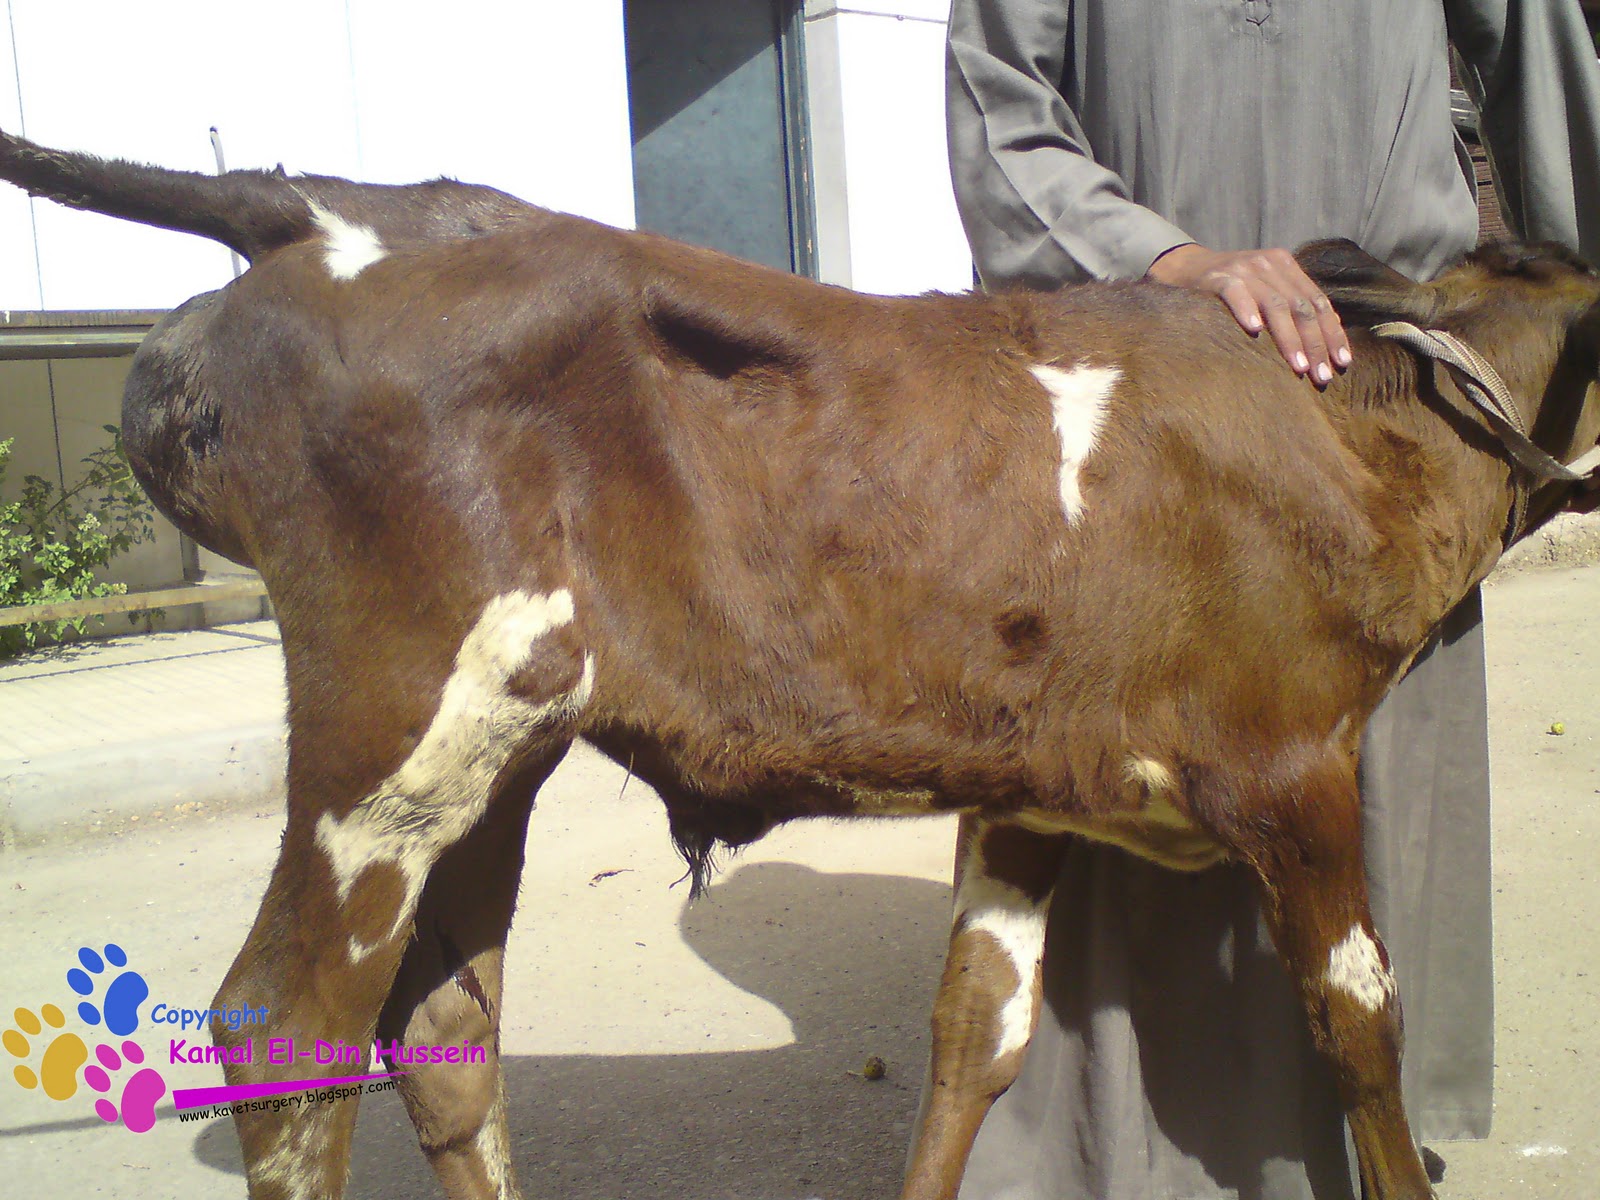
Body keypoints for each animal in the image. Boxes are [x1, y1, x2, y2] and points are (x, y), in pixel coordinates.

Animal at [0, 128, 1596, 1200]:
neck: (1368, 423)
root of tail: (321, 206)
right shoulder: (1291, 768)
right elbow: (1358, 1021)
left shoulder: (1030, 786)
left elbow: (974, 1032)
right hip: (394, 731)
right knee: (284, 1034)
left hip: (501, 744)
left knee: (449, 1030)